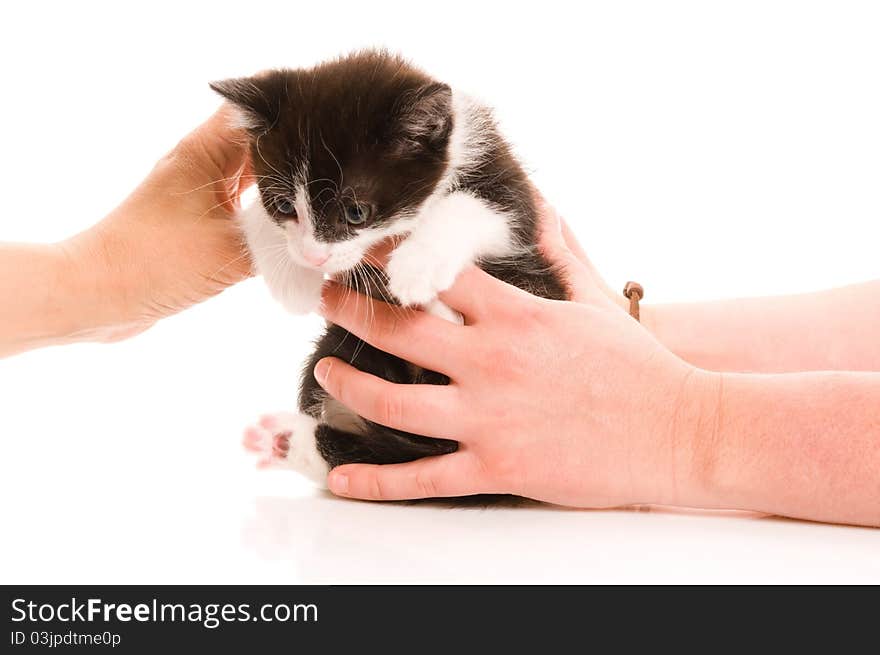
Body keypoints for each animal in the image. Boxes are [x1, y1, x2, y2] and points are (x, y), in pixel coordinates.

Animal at [217, 51, 568, 490]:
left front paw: (415, 269)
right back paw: (283, 440)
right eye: (283, 205)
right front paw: (292, 282)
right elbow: (255, 214)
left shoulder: (515, 197)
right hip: (337, 345)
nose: (313, 257)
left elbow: (476, 206)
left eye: (356, 212)